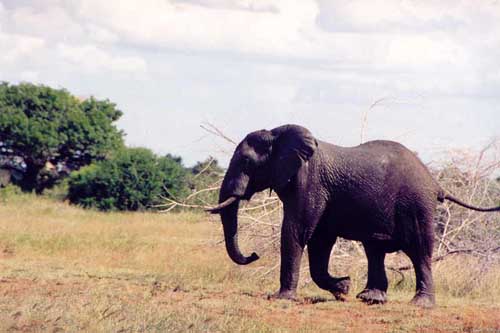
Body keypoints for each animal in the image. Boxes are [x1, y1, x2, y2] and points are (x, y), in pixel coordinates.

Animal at [205, 124, 498, 306]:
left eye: (246, 162)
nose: (254, 255)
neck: (278, 134)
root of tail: (436, 184)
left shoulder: (310, 182)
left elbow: (298, 230)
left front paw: (282, 299)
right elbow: (319, 239)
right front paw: (343, 289)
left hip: (417, 205)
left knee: (419, 250)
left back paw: (420, 304)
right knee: (375, 249)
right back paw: (370, 298)